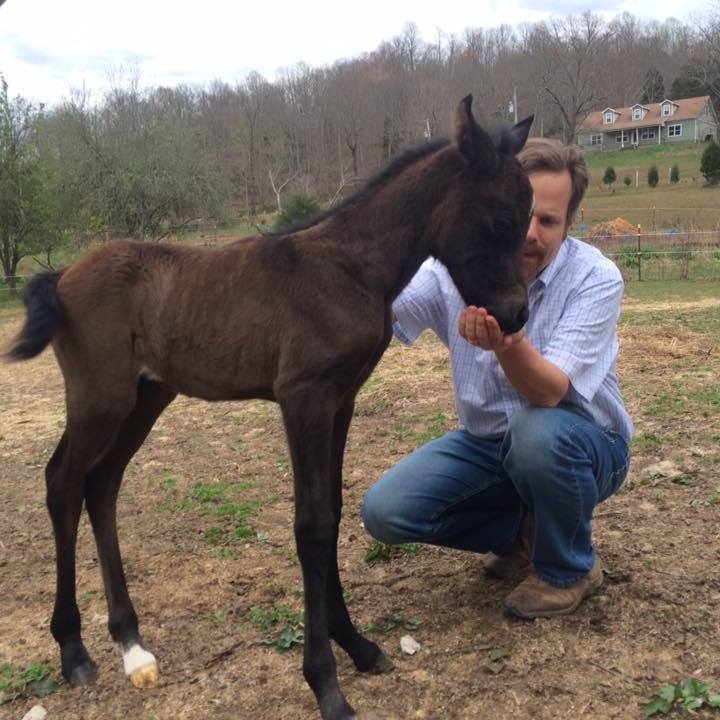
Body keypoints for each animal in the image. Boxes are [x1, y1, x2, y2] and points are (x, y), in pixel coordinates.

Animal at [5, 95, 533, 720]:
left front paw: (357, 645)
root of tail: (64, 275)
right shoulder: (303, 399)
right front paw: (326, 683)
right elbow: (310, 524)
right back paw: (73, 650)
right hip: (99, 398)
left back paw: (132, 645)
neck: (349, 269)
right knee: (63, 482)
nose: (517, 315)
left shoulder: (341, 401)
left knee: (101, 484)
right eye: (501, 218)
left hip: (145, 397)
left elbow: (332, 511)